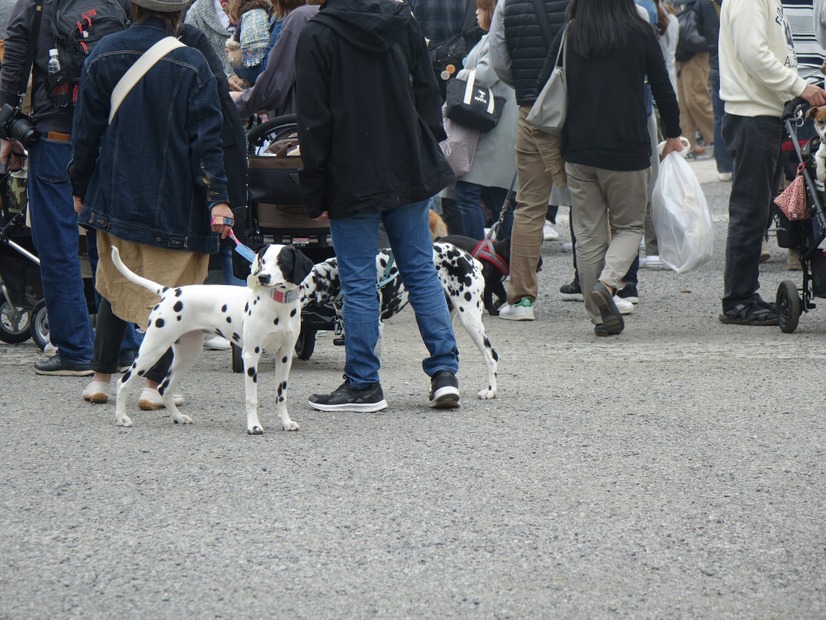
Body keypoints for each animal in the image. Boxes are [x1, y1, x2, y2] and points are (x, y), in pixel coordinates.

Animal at [108, 245, 312, 434]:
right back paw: (121, 418)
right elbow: (252, 398)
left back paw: (178, 417)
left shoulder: (284, 357)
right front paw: (254, 426)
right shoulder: (251, 356)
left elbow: (281, 395)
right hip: (152, 349)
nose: (262, 277)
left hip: (187, 355)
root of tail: (169, 291)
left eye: (282, 261)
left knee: (164, 388)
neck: (277, 306)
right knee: (123, 382)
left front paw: (286, 422)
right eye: (262, 261)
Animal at [300, 240, 498, 400]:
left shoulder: (376, 327)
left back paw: (490, 391)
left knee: (491, 355)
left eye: (300, 287)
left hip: (470, 318)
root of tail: (471, 260)